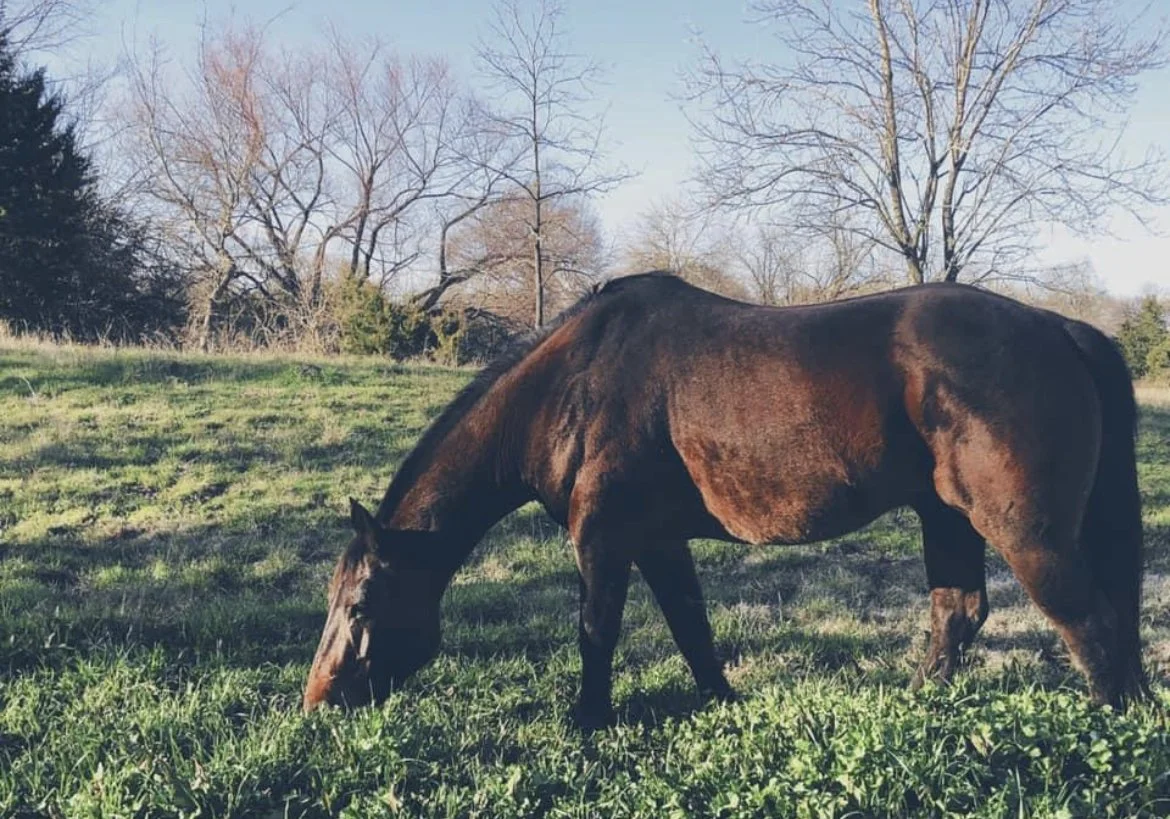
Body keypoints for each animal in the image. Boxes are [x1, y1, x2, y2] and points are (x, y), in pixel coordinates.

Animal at [303, 272, 1147, 728]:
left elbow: (596, 631)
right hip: (946, 516)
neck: (572, 387)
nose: (318, 699)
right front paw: (723, 700)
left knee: (1090, 623)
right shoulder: (654, 539)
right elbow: (692, 627)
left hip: (1022, 529)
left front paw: (588, 721)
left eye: (362, 604)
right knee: (960, 612)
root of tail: (1062, 329)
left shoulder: (602, 538)